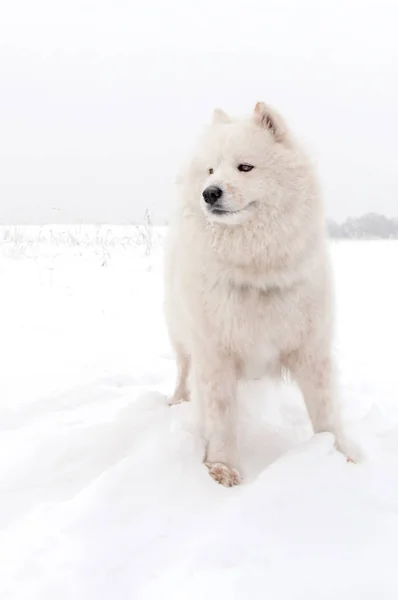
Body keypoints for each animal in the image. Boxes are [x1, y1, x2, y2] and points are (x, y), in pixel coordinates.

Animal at [165, 102, 354, 488]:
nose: (209, 192)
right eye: (210, 170)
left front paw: (341, 455)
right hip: (180, 336)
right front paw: (222, 469)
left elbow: (326, 411)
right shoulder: (215, 354)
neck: (255, 271)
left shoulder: (311, 351)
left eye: (245, 167)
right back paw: (177, 401)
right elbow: (221, 417)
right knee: (183, 371)